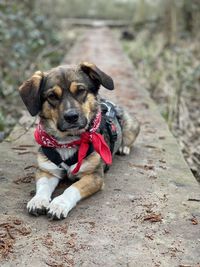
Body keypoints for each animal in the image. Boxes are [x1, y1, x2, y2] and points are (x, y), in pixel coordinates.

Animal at [19, 62, 141, 220]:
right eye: (52, 96)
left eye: (81, 90)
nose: (71, 116)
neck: (68, 141)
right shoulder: (47, 170)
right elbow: (43, 186)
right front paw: (38, 200)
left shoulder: (94, 176)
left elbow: (72, 188)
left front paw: (60, 204)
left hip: (131, 127)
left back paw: (123, 148)